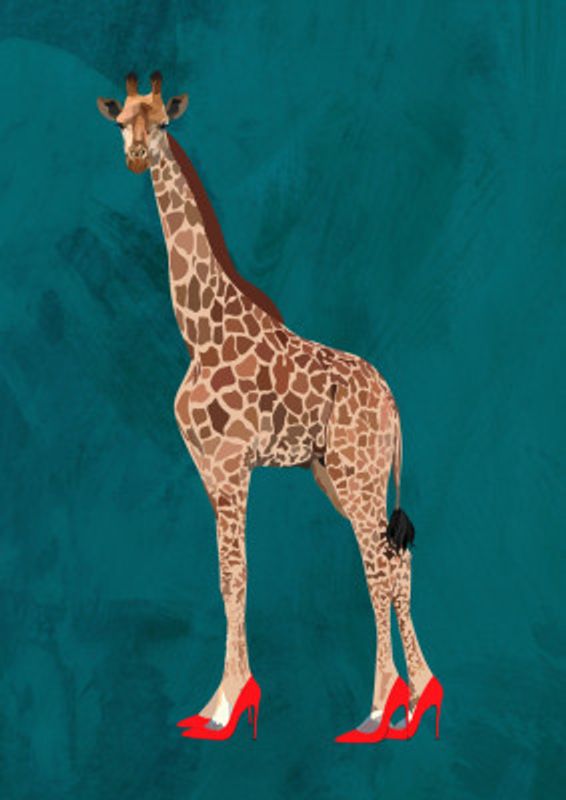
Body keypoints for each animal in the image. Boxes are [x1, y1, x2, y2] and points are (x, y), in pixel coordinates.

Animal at [97, 72, 438, 739]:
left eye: (164, 122)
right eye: (121, 122)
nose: (136, 156)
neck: (198, 331)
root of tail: (392, 400)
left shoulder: (233, 466)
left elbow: (237, 576)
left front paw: (230, 704)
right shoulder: (207, 469)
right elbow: (226, 578)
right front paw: (215, 702)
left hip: (359, 476)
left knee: (378, 568)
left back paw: (378, 709)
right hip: (337, 474)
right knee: (397, 561)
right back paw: (417, 699)